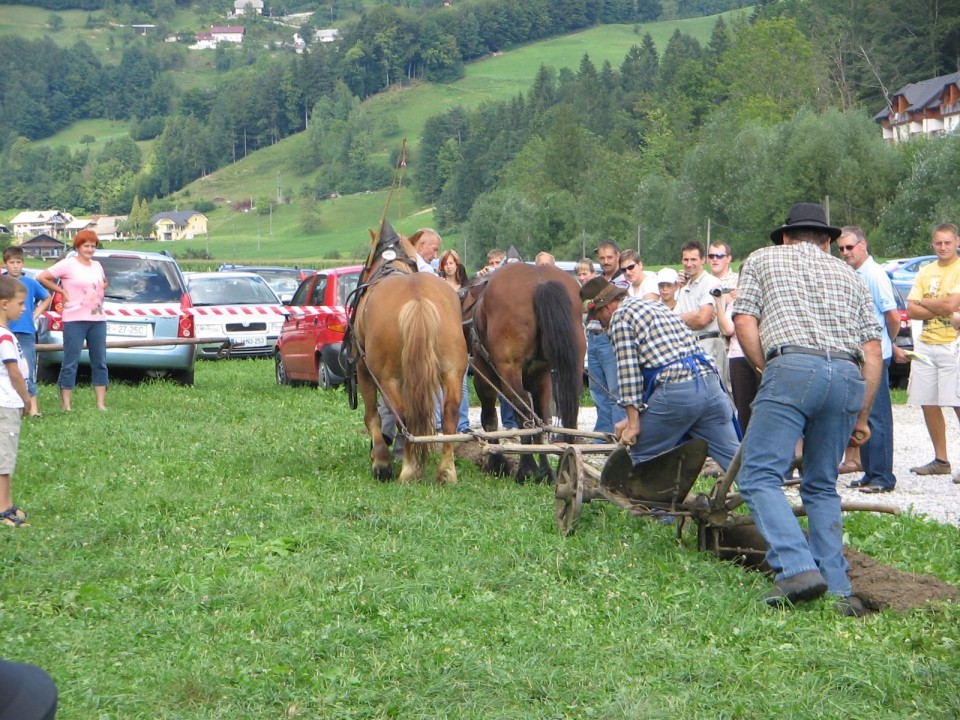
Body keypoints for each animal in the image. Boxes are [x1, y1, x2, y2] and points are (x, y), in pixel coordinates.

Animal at [348, 222, 468, 484]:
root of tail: (418, 299)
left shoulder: (364, 369)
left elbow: (372, 415)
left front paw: (381, 462)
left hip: (387, 377)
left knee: (402, 414)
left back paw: (409, 469)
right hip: (452, 371)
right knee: (450, 412)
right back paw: (446, 471)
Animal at [460, 260, 580, 484]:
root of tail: (540, 282)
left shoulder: (484, 377)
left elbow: (489, 419)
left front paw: (497, 462)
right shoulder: (539, 377)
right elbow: (542, 420)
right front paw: (544, 470)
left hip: (509, 371)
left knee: (522, 411)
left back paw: (526, 468)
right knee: (560, 413)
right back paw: (560, 466)